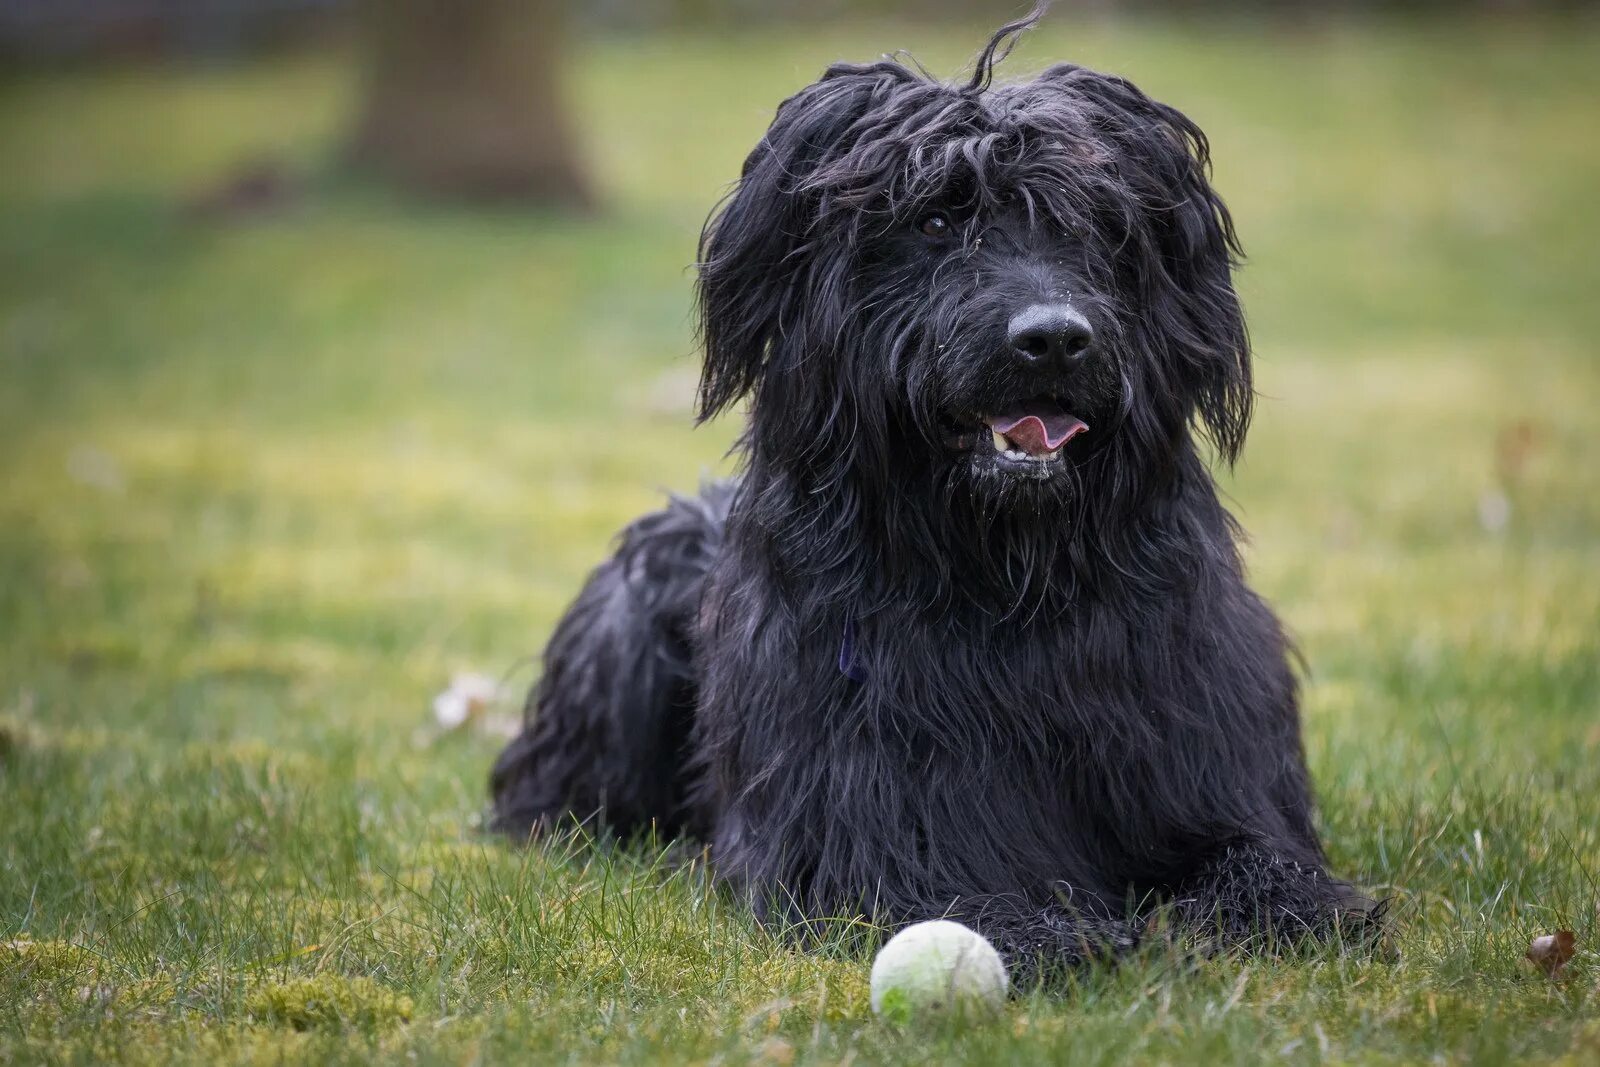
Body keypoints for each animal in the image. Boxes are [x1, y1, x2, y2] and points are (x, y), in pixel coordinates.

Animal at [489, 6, 1376, 979]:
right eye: (939, 217)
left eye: (1096, 226)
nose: (1053, 338)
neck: (1007, 582)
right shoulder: (861, 816)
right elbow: (933, 882)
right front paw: (1052, 932)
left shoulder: (1204, 757)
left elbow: (1259, 858)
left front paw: (1262, 909)